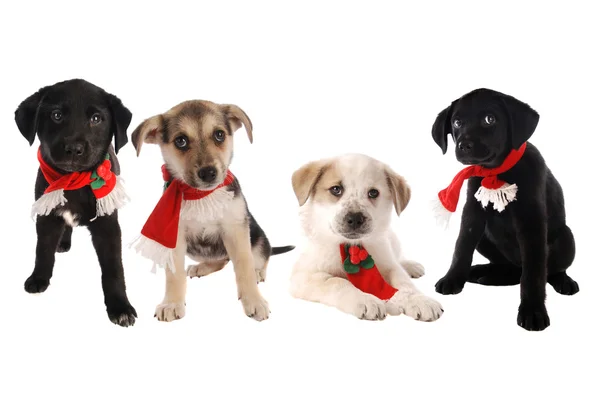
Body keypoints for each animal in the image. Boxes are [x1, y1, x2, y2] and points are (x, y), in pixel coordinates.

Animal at [14, 77, 137, 324]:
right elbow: (43, 250)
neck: (74, 183)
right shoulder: (46, 216)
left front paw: (120, 307)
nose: (73, 148)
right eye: (56, 115)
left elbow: (113, 268)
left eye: (96, 119)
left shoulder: (108, 225)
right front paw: (39, 278)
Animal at [132, 101, 294, 322]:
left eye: (219, 135)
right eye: (181, 141)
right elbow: (174, 275)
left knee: (261, 256)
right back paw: (201, 267)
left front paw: (254, 300)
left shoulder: (236, 230)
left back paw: (258, 271)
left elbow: (244, 266)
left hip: (258, 237)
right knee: (221, 260)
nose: (208, 173)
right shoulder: (175, 235)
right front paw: (171, 303)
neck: (201, 196)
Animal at [290, 153, 446, 322]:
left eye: (373, 193)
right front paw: (366, 300)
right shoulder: (305, 276)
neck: (351, 246)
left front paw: (419, 300)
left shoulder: (388, 265)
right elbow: (338, 282)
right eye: (336, 189)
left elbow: (404, 283)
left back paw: (410, 266)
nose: (355, 218)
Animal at [432, 88, 576, 332]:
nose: (464, 145)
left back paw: (564, 281)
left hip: (566, 237)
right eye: (457, 122)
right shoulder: (472, 213)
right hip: (485, 239)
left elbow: (533, 271)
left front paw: (532, 310)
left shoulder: (532, 221)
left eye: (490, 119)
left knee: (546, 270)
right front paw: (452, 278)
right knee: (509, 269)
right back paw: (482, 273)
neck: (497, 172)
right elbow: (461, 248)